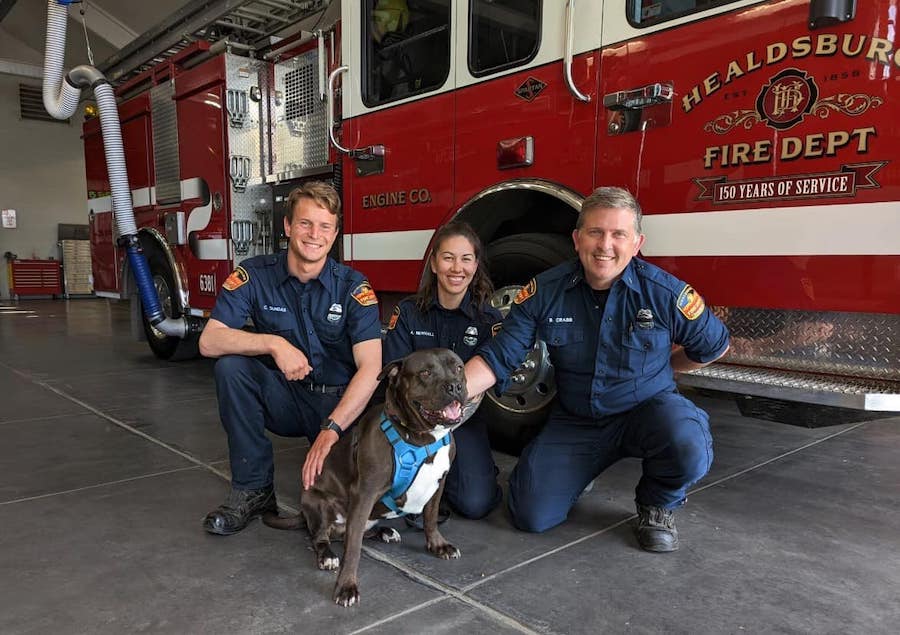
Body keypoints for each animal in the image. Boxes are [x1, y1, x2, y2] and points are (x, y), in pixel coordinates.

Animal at [264, 350, 468, 608]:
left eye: (459, 368)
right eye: (425, 373)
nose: (455, 386)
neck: (420, 438)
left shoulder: (438, 484)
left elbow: (430, 519)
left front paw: (438, 545)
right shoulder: (365, 493)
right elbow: (353, 549)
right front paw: (346, 587)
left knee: (359, 531)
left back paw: (385, 532)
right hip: (317, 500)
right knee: (322, 537)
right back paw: (328, 556)